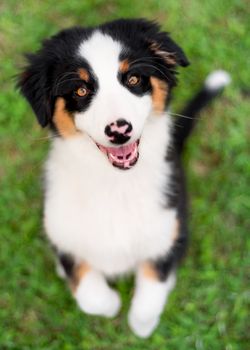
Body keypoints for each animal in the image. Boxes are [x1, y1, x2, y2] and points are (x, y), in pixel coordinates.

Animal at [17, 18, 229, 336]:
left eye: (133, 79)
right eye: (81, 90)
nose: (119, 130)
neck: (115, 182)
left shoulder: (166, 231)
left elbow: (149, 295)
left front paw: (141, 327)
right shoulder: (61, 232)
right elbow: (91, 295)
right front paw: (112, 305)